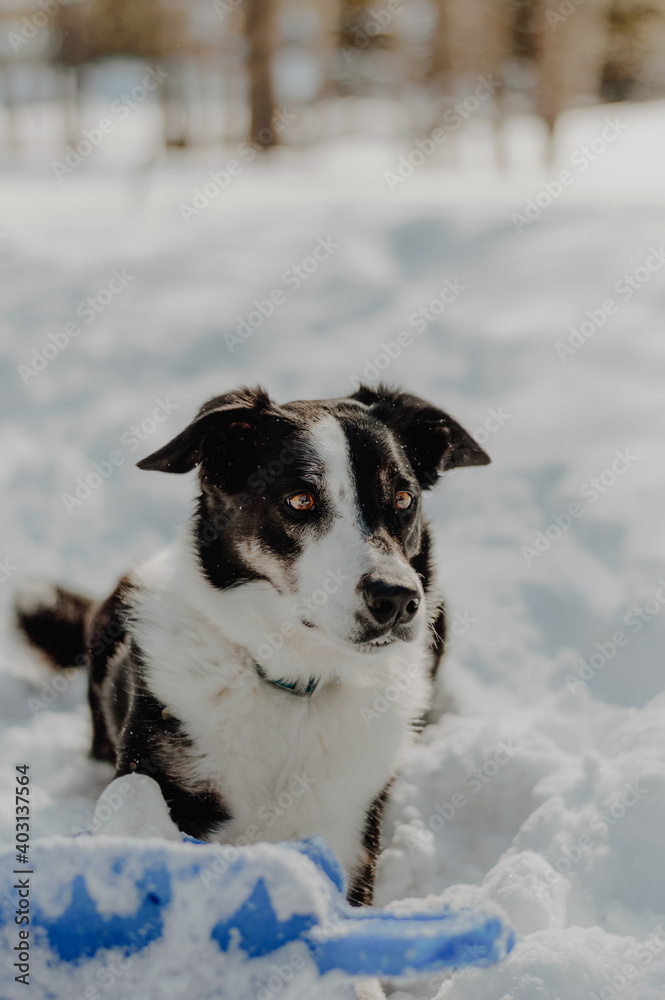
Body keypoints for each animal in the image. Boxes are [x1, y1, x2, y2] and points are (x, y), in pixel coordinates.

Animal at [14, 384, 488, 916]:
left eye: (404, 498)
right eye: (300, 500)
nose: (396, 599)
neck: (293, 681)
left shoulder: (349, 837)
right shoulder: (160, 771)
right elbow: (135, 801)